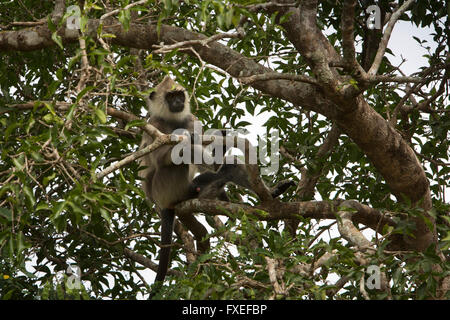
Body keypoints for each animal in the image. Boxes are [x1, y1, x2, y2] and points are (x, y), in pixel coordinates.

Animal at [139, 75, 294, 298]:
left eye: (179, 95)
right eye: (170, 96)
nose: (177, 102)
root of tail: (162, 202)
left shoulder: (191, 120)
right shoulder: (154, 123)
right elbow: (160, 156)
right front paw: (188, 140)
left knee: (227, 168)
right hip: (165, 187)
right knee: (176, 160)